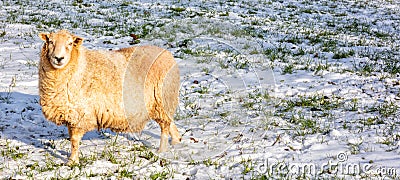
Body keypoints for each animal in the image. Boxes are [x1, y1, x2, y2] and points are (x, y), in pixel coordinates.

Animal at [37, 29, 181, 166]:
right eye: (50, 42)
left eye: (70, 43)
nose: (58, 58)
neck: (79, 65)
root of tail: (168, 54)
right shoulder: (71, 114)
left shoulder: (80, 115)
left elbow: (74, 140)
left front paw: (72, 161)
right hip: (162, 102)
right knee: (169, 121)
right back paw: (176, 141)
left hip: (161, 98)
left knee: (165, 127)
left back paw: (162, 150)